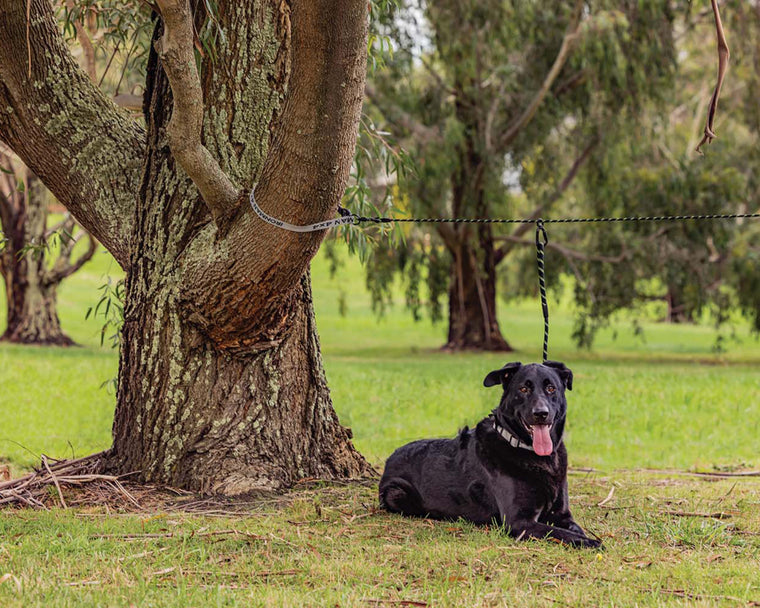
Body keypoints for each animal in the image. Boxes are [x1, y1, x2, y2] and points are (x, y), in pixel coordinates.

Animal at [378, 358, 600, 548]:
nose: (541, 413)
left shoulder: (562, 514)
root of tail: (390, 457)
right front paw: (591, 542)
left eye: (551, 388)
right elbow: (560, 533)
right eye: (523, 389)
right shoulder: (519, 521)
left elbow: (574, 529)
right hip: (396, 493)